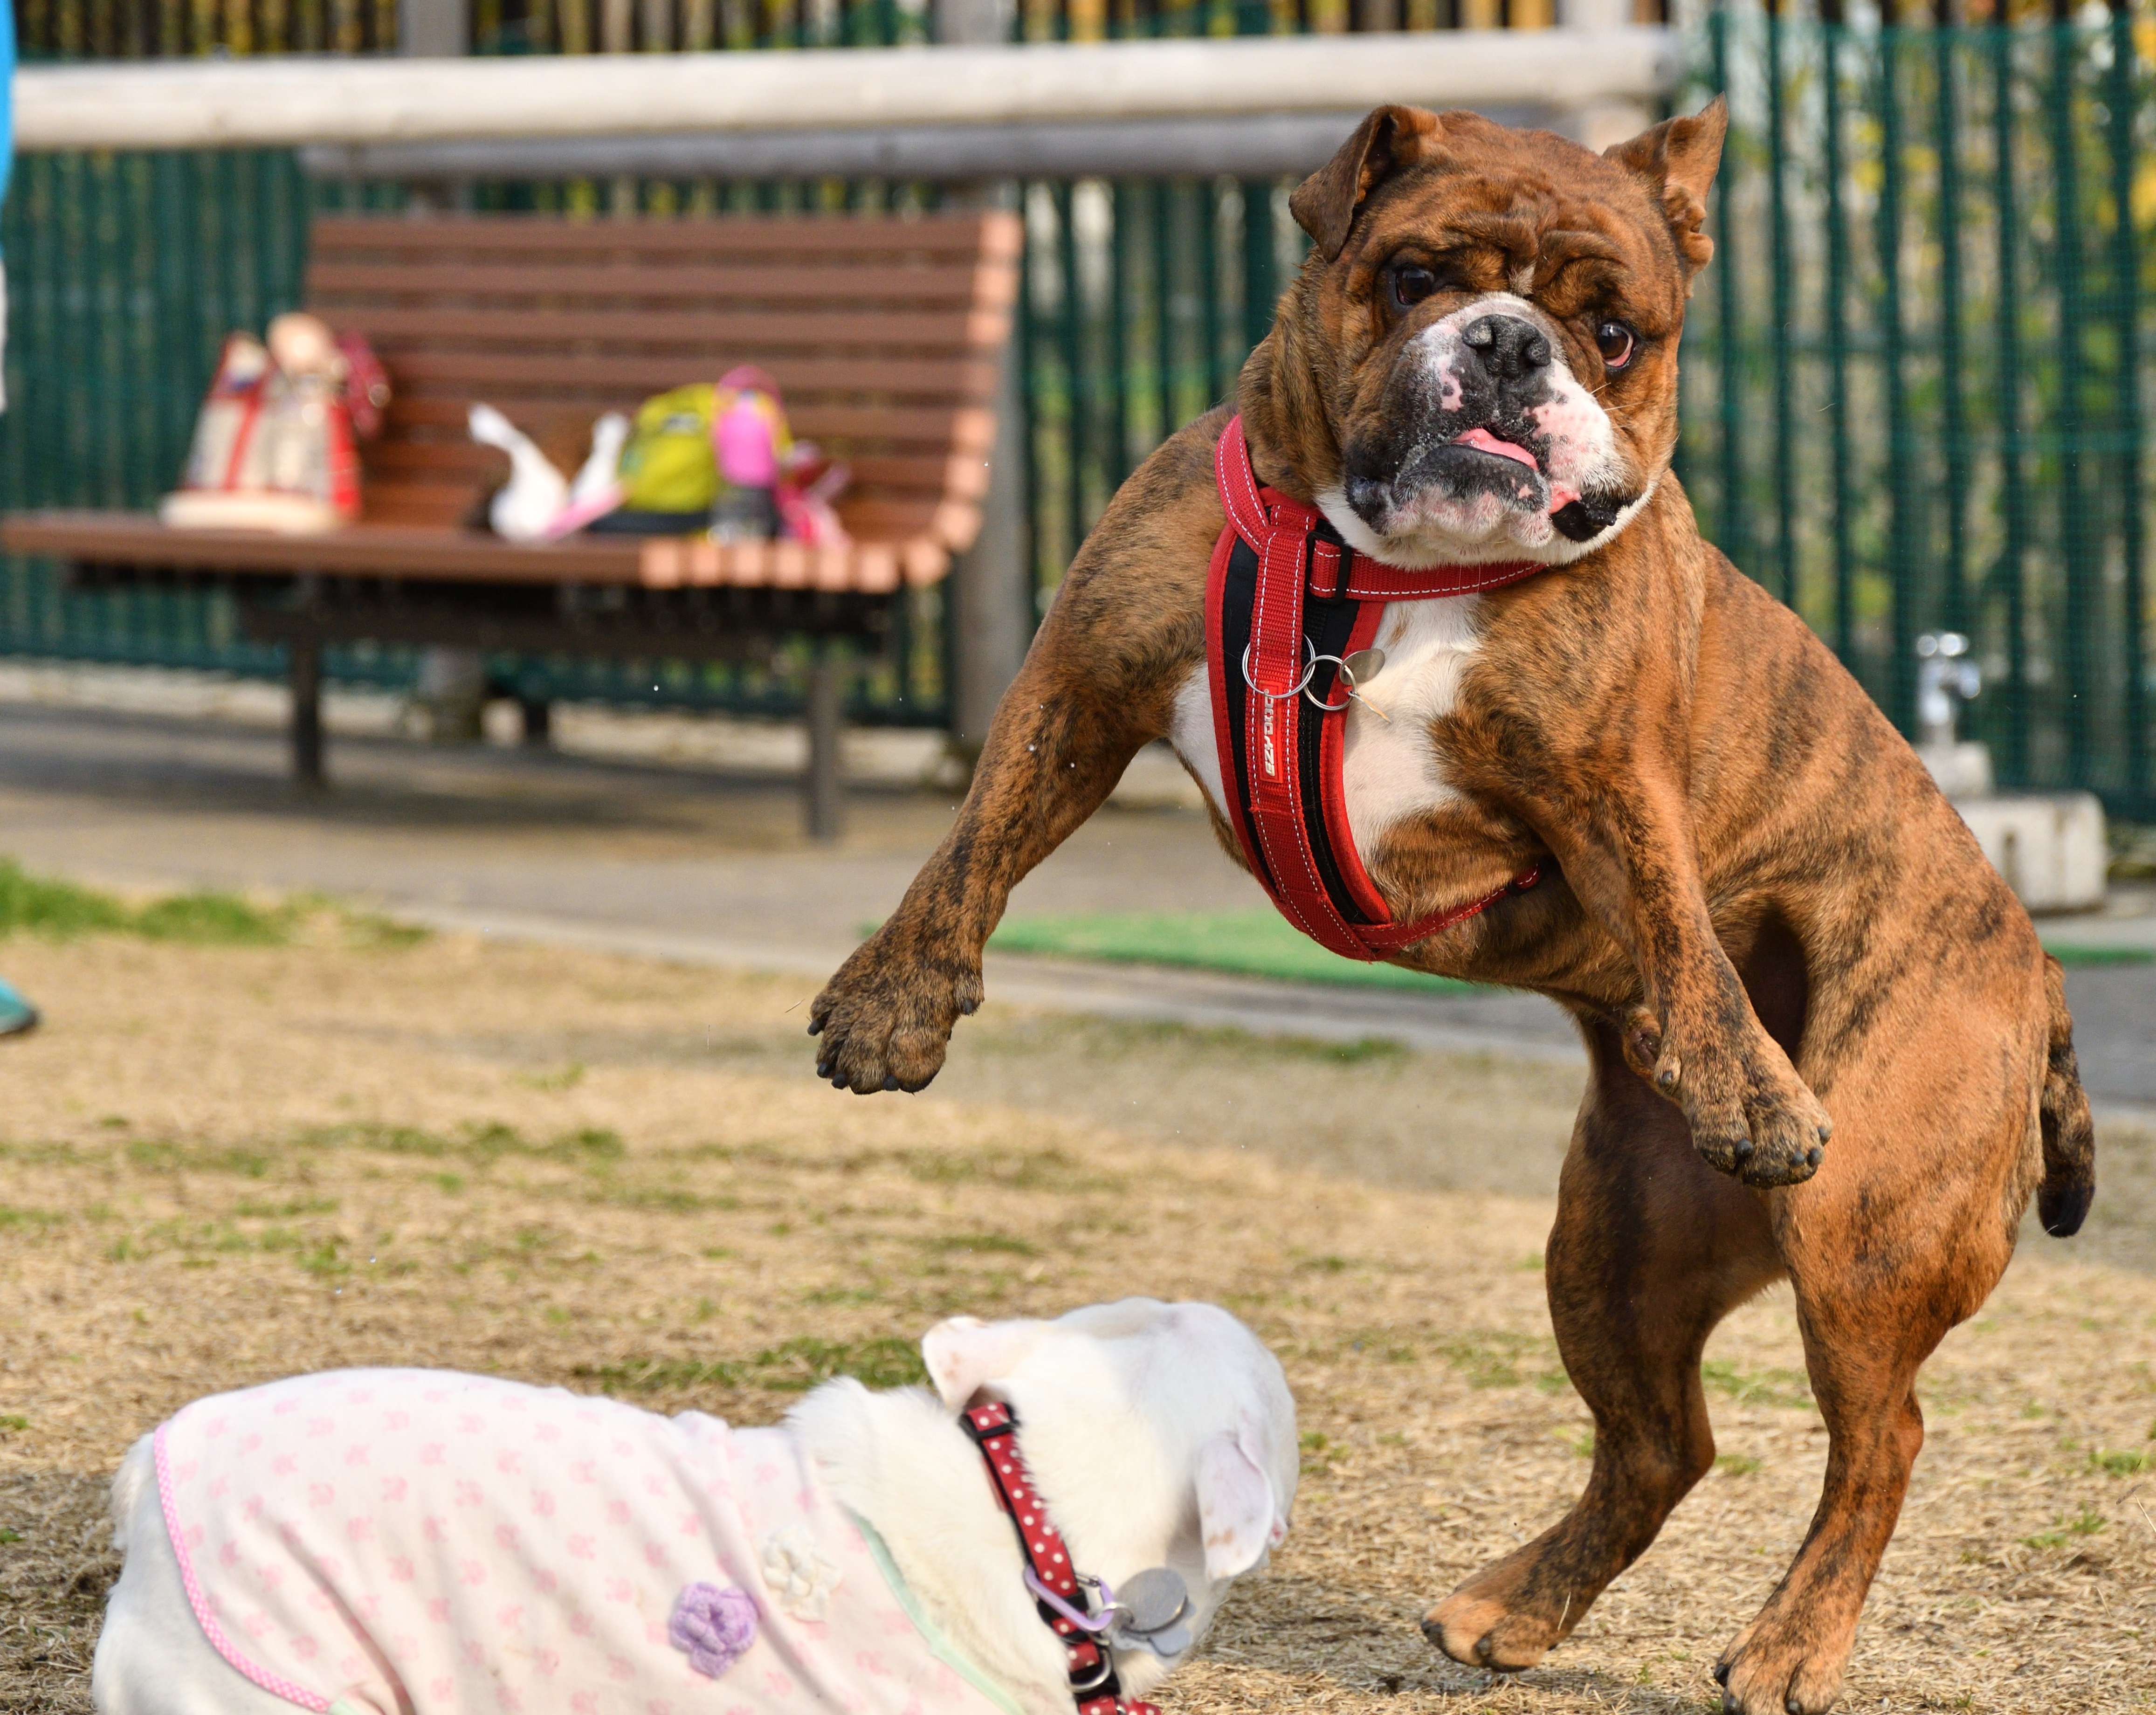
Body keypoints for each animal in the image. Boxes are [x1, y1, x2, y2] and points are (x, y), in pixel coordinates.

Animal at [802, 101, 2095, 1708]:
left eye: (1615, 331)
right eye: (1415, 274)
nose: (1506, 346)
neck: (1370, 571)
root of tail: (2041, 985)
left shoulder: (1613, 771)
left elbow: (1673, 908)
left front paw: (1744, 1077)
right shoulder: (1082, 683)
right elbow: (972, 839)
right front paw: (893, 999)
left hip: (1861, 1221)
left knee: (1881, 1436)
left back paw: (1790, 1639)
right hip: (1611, 1242)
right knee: (1665, 1440)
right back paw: (1513, 1607)